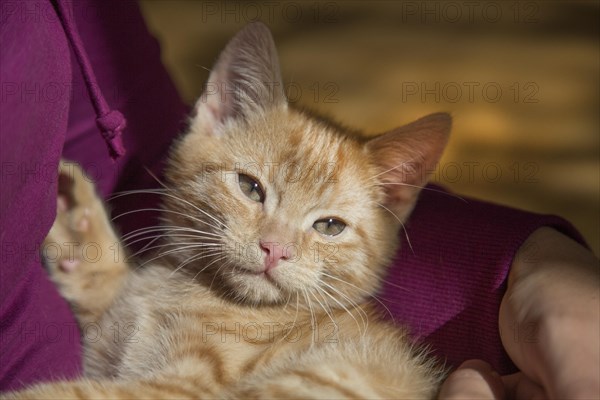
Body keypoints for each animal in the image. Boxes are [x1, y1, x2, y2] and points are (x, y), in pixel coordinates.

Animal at [3, 22, 450, 400]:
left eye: (329, 226)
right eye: (250, 188)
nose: (275, 249)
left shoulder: (181, 388)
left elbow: (66, 394)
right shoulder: (110, 345)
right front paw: (80, 232)